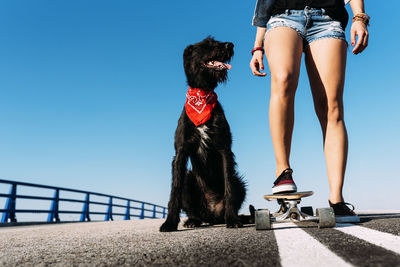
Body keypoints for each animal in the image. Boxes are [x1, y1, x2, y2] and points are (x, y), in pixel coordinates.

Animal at [159, 37, 247, 232]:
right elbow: (174, 190)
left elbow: (228, 187)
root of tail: (211, 215)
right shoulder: (180, 152)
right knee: (194, 211)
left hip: (239, 182)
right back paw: (193, 220)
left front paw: (232, 219)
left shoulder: (224, 150)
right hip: (189, 179)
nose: (230, 45)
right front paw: (170, 222)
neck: (202, 95)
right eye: (207, 44)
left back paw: (235, 217)